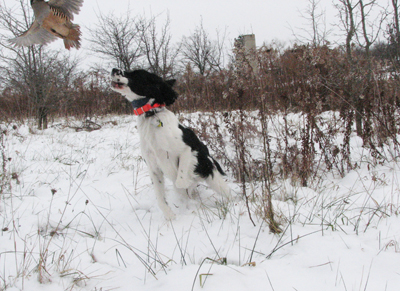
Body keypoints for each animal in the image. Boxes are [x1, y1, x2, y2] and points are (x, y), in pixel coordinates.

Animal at [111, 68, 230, 219]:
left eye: (135, 74)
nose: (114, 70)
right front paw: (170, 217)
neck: (151, 115)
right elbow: (161, 199)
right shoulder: (154, 168)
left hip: (214, 179)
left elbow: (181, 181)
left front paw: (187, 185)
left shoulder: (188, 149)